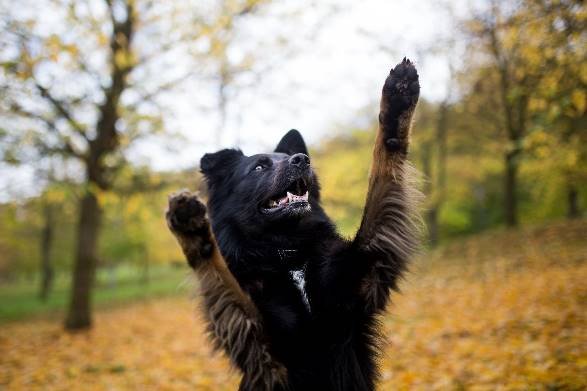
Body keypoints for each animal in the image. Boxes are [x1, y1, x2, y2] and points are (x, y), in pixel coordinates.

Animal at [168, 59, 420, 391]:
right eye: (259, 167)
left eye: (289, 157)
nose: (302, 160)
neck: (287, 253)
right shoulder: (260, 341)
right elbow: (219, 272)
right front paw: (193, 231)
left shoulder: (364, 269)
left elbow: (381, 169)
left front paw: (396, 107)